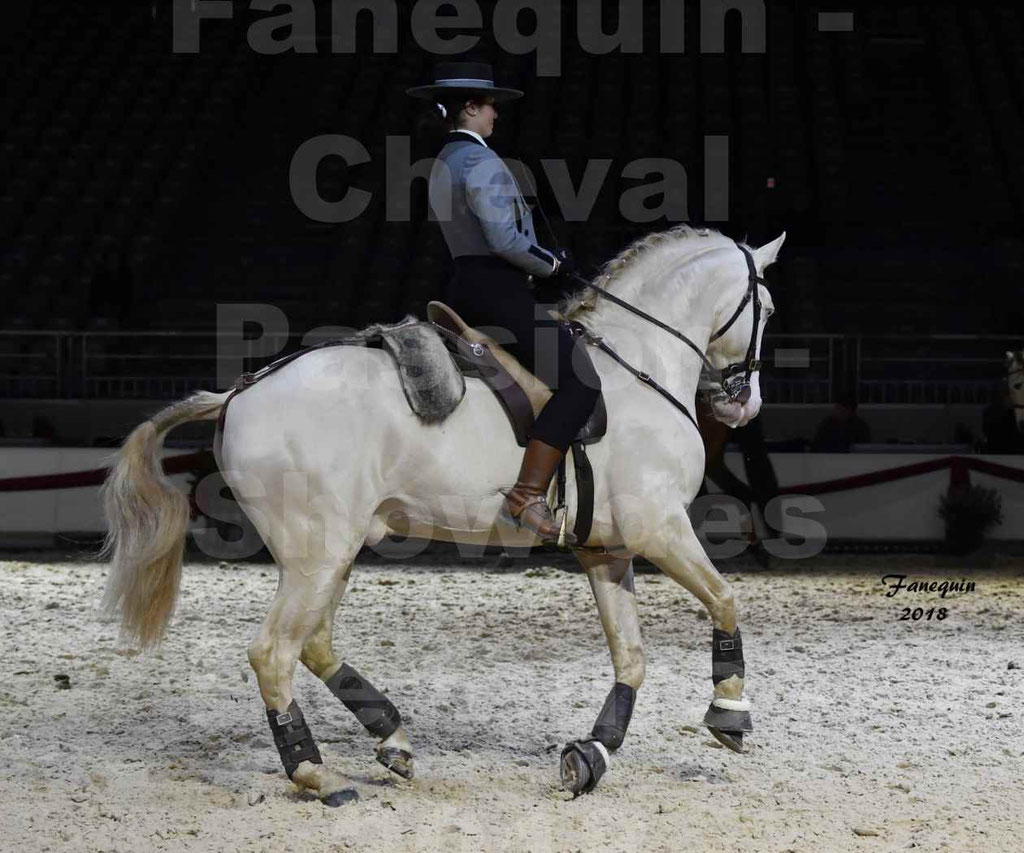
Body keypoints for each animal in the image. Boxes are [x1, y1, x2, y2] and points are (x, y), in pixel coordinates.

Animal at [99, 225, 784, 804]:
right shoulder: (660, 528)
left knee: (313, 645)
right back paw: (317, 774)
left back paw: (392, 739)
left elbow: (632, 658)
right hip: (317, 551)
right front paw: (730, 711)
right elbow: (725, 599)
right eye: (769, 310)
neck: (637, 367)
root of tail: (240, 392)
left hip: (333, 551)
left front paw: (592, 754)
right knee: (274, 653)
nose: (745, 404)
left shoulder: (607, 550)